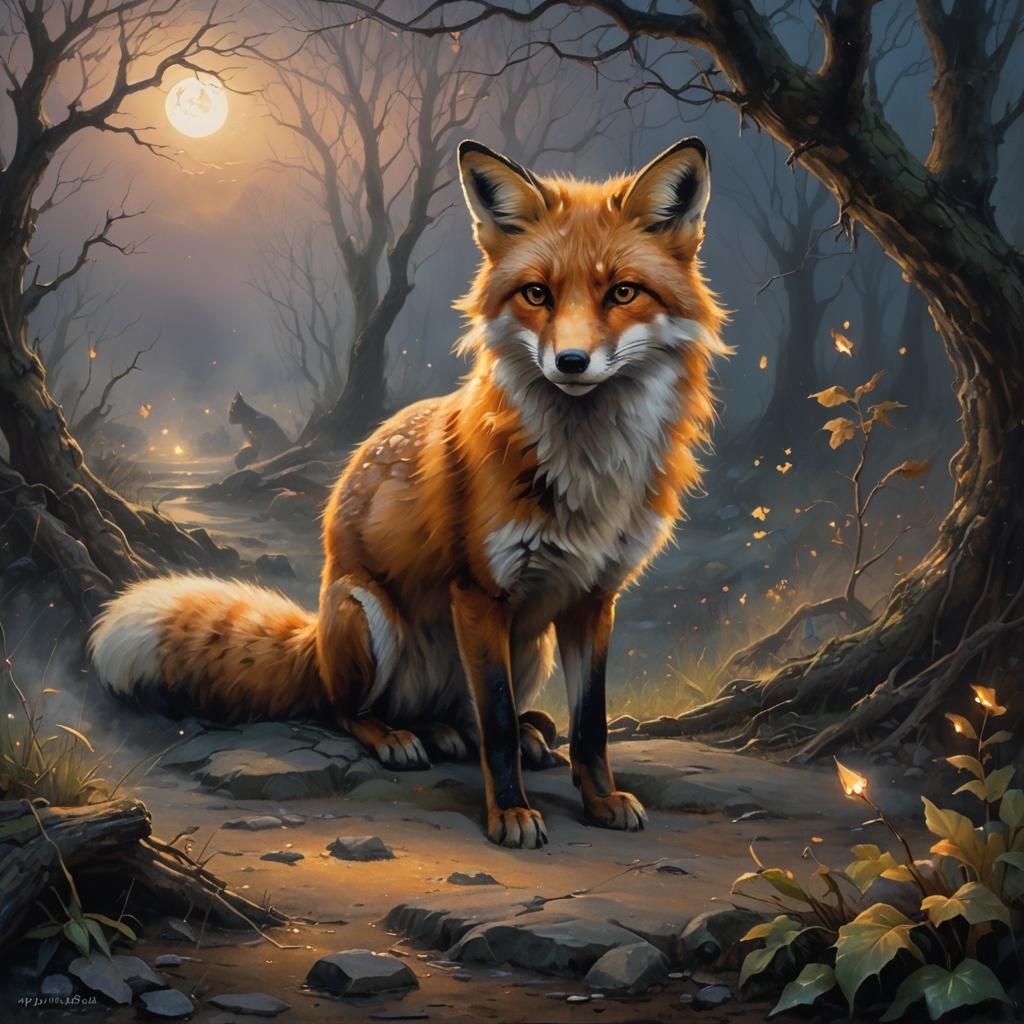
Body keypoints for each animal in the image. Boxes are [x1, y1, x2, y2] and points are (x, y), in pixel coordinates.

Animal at [90, 137, 727, 849]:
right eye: (537, 293)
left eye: (622, 292)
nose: (570, 363)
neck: (586, 472)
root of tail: (313, 641)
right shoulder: (478, 593)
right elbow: (497, 727)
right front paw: (509, 814)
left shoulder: (594, 597)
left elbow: (589, 725)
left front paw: (601, 800)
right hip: (370, 614)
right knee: (352, 710)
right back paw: (398, 736)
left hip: (526, 645)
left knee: (469, 716)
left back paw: (486, 732)